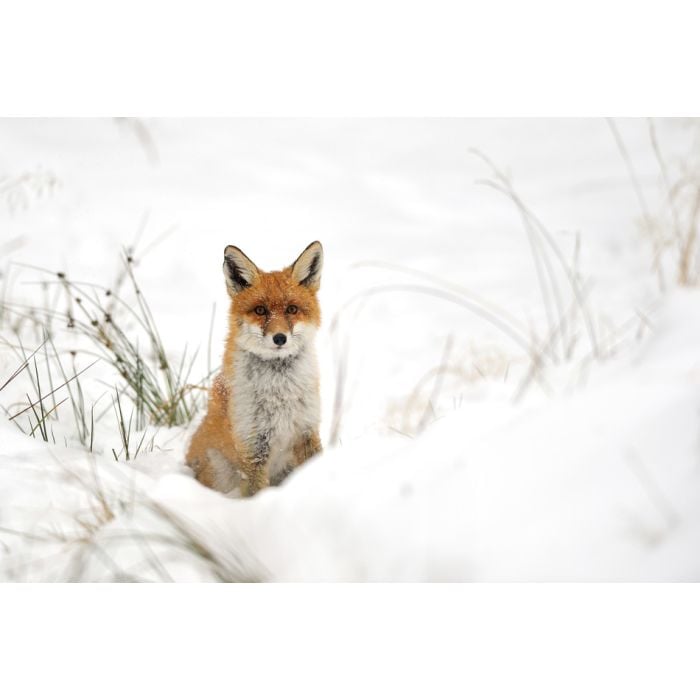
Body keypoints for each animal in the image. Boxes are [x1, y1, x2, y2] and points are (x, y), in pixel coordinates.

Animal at [187, 241, 326, 498]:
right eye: (260, 310)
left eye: (292, 309)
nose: (280, 338)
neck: (280, 392)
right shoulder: (252, 445)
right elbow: (255, 492)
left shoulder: (307, 430)